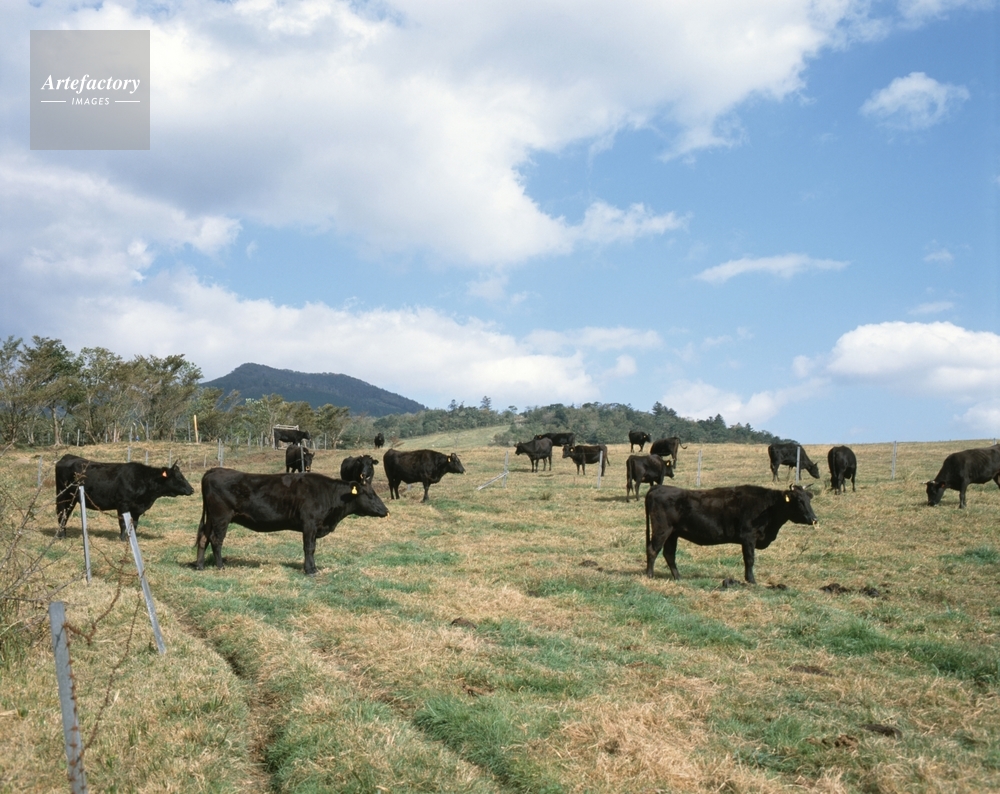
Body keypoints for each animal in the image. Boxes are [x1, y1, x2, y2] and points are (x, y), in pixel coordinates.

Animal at [55, 454, 194, 540]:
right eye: (179, 477)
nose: (192, 489)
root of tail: (67, 456)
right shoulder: (123, 504)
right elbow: (123, 523)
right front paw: (123, 538)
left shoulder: (137, 508)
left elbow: (135, 524)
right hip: (62, 495)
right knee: (61, 513)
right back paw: (61, 535)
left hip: (72, 499)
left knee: (65, 515)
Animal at [195, 468, 388, 575]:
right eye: (370, 494)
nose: (386, 511)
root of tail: (214, 470)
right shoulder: (309, 524)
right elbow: (309, 548)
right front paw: (310, 570)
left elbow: (313, 548)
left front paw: (313, 568)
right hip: (221, 517)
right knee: (216, 540)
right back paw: (220, 566)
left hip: (211, 518)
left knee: (204, 537)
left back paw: (200, 566)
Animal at [645, 484, 818, 584]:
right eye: (799, 501)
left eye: (809, 500)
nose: (814, 519)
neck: (768, 507)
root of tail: (659, 487)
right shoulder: (748, 537)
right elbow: (749, 559)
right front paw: (751, 580)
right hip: (662, 530)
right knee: (653, 550)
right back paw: (650, 575)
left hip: (673, 533)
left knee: (669, 554)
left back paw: (678, 577)